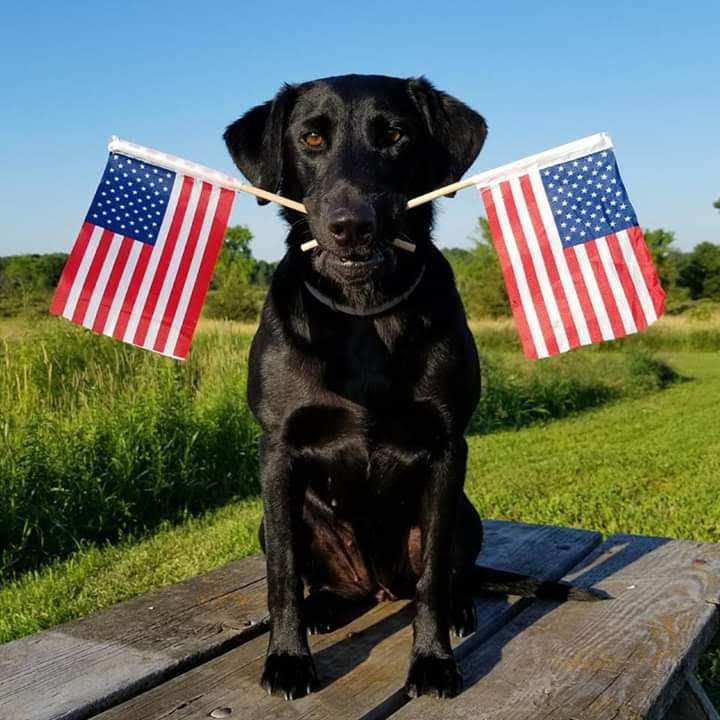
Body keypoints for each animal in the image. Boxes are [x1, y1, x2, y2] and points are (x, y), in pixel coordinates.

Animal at [225, 73, 596, 696]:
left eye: (395, 135)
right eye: (312, 137)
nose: (352, 225)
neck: (363, 311)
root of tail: (378, 585)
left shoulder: (446, 449)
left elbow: (431, 580)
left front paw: (432, 659)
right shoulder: (276, 451)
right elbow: (282, 575)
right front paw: (288, 658)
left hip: (466, 513)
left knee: (448, 575)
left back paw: (460, 609)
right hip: (282, 521)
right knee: (323, 580)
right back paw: (326, 607)